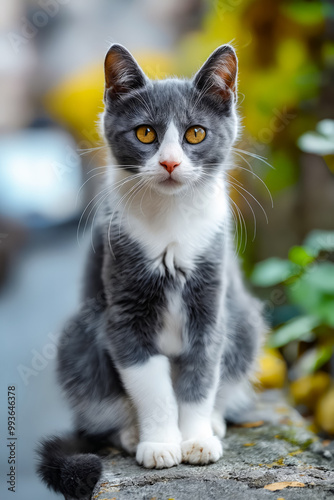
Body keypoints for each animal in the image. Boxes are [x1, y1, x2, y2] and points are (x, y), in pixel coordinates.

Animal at [36, 43, 266, 500]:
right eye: (145, 133)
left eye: (195, 133)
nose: (171, 163)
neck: (171, 223)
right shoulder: (123, 308)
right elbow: (151, 385)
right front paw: (159, 444)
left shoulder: (211, 302)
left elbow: (200, 375)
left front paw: (195, 438)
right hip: (80, 337)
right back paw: (129, 433)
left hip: (244, 318)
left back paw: (214, 423)